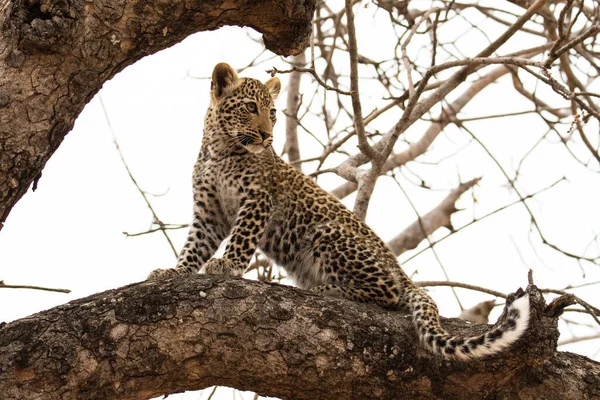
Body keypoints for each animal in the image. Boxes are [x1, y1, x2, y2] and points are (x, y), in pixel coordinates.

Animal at [146, 62, 528, 360]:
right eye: (250, 107)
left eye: (272, 113)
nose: (267, 136)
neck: (219, 148)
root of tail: (401, 270)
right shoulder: (208, 212)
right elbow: (193, 247)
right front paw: (173, 272)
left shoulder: (257, 200)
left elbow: (240, 238)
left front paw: (226, 264)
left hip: (328, 234)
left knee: (388, 294)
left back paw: (327, 290)